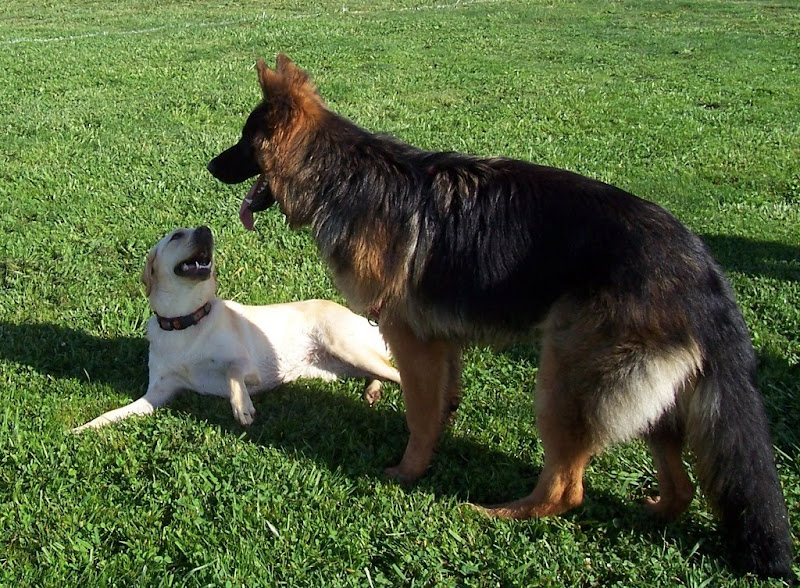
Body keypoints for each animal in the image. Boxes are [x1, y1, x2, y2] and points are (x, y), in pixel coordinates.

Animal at [73, 225, 400, 432]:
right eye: (177, 236)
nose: (206, 229)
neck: (186, 320)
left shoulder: (247, 365)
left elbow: (232, 373)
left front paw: (242, 406)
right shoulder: (157, 395)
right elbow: (116, 413)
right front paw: (86, 427)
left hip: (347, 347)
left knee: (395, 371)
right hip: (342, 365)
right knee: (382, 371)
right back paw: (372, 391)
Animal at [209, 55, 796, 580]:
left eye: (243, 141)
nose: (211, 167)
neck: (342, 175)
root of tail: (702, 266)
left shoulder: (410, 336)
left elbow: (419, 414)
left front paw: (407, 473)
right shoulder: (442, 342)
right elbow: (441, 404)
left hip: (562, 381)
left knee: (567, 489)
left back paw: (498, 513)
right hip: (646, 396)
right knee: (682, 487)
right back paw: (651, 510)